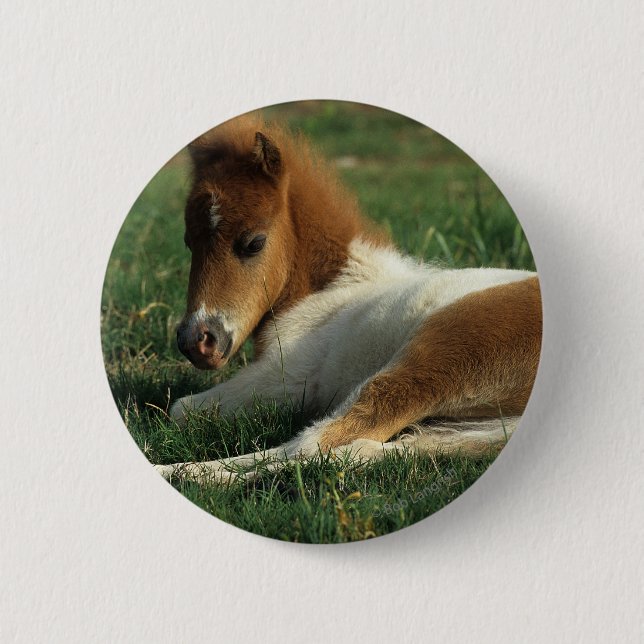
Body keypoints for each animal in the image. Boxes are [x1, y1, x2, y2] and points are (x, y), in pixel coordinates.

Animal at [155, 114, 542, 484]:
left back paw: (183, 472)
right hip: (487, 429)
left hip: (430, 366)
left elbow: (181, 410)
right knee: (369, 448)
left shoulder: (286, 379)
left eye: (253, 243)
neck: (335, 287)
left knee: (314, 443)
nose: (197, 341)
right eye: (189, 242)